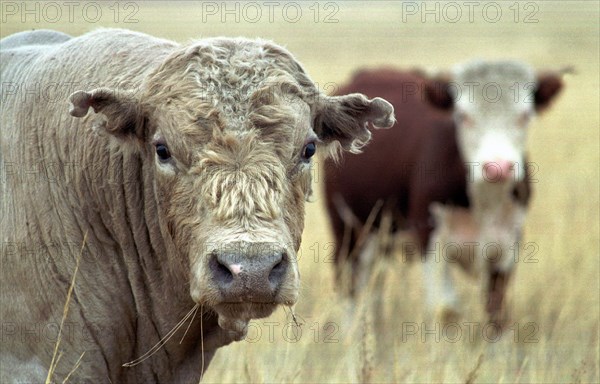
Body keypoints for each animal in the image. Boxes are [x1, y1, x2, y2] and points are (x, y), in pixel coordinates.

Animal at [324, 61, 564, 326]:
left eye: (525, 116)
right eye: (462, 117)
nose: (498, 167)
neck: (483, 203)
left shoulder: (508, 245)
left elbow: (498, 313)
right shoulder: (431, 241)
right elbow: (446, 311)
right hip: (350, 233)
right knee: (349, 289)